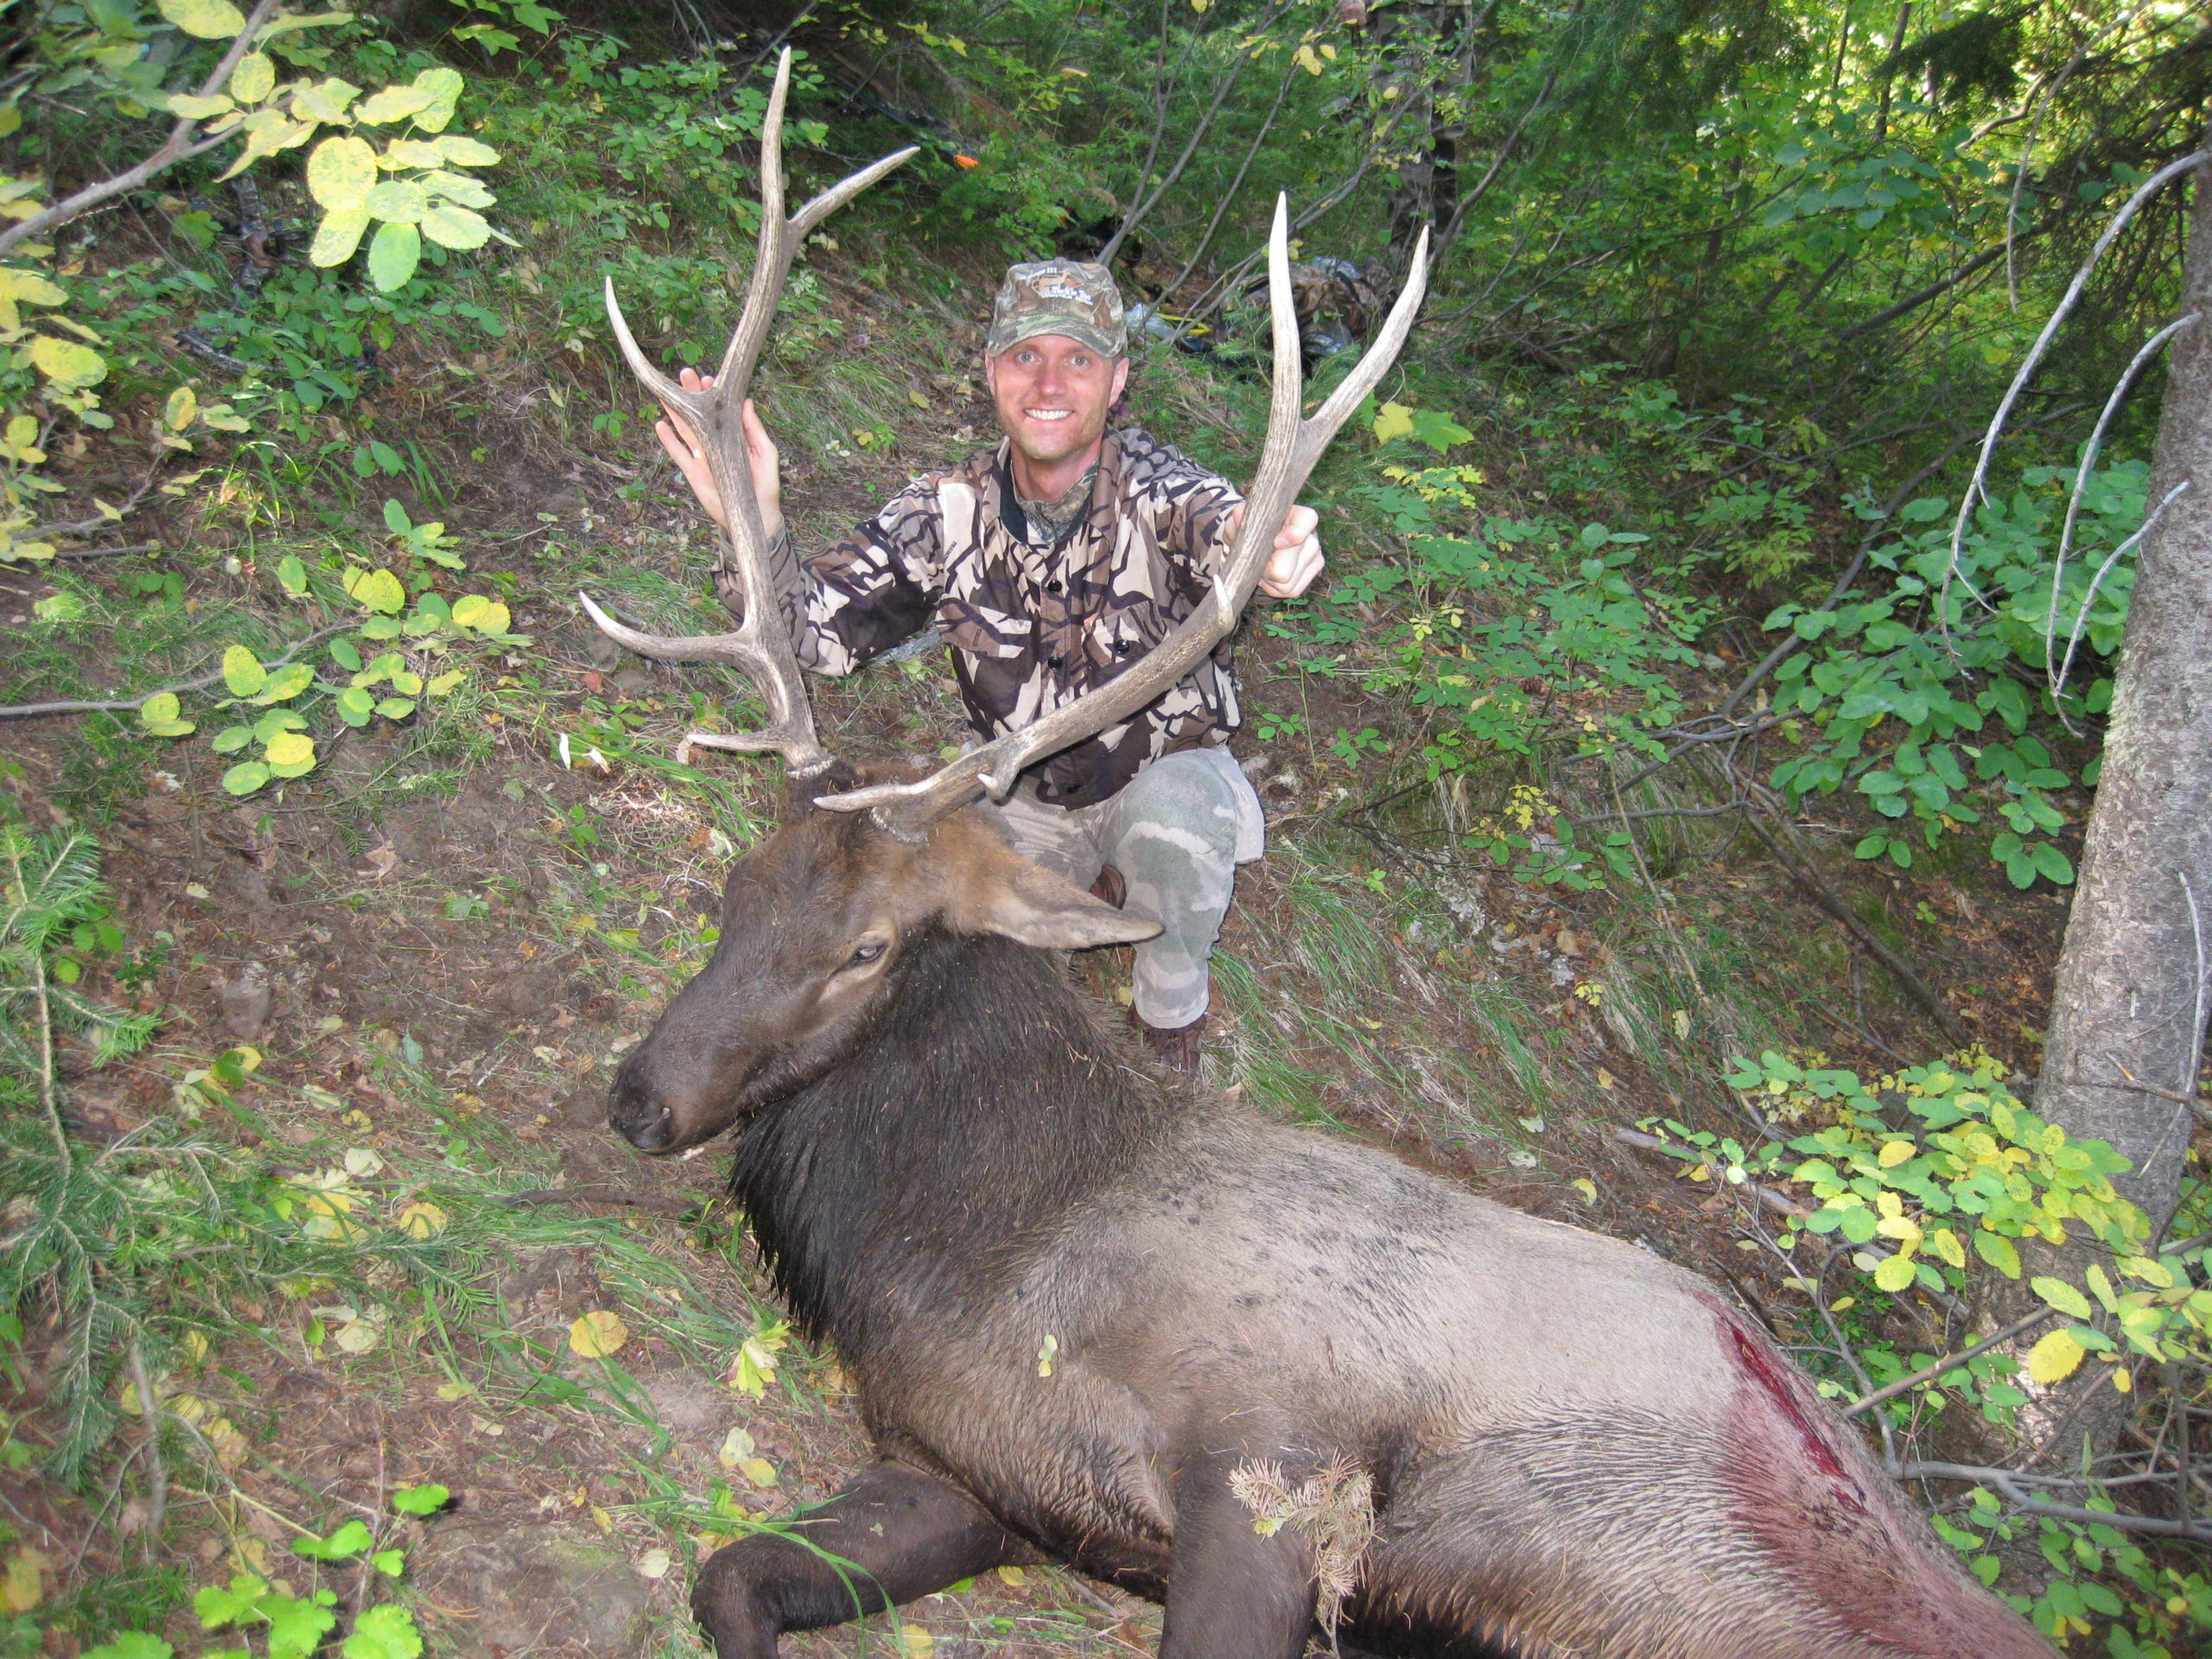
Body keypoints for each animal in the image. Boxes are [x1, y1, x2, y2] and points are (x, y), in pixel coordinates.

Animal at [583, 48, 2052, 1659]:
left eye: (866, 946)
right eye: (740, 887)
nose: (640, 1100)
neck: (991, 1252)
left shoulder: (1279, 1464)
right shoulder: (962, 1472)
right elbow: (730, 1579)